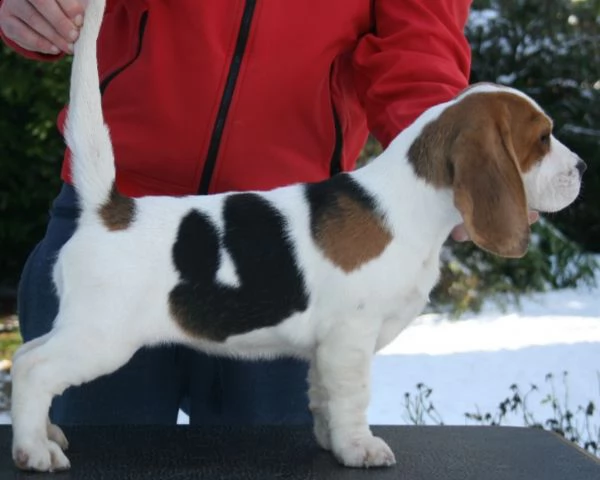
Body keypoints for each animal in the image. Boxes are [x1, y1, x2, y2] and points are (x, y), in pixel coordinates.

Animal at [11, 0, 588, 472]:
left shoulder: (324, 350)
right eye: (542, 138)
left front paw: (334, 443)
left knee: (21, 358)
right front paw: (361, 449)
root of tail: (109, 209)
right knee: (34, 368)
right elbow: (353, 399)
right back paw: (35, 451)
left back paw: (46, 433)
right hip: (103, 337)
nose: (582, 168)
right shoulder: (350, 339)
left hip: (81, 327)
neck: (408, 205)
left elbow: (325, 399)